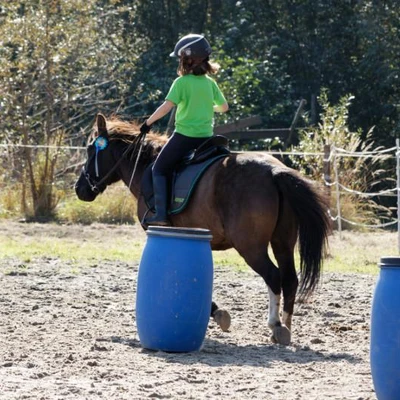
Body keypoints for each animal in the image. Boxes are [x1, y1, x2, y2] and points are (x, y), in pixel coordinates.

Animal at [76, 114, 332, 346]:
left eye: (90, 151)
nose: (80, 189)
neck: (146, 165)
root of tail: (273, 171)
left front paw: (219, 314)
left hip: (251, 247)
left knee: (273, 276)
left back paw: (275, 324)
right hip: (282, 243)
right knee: (290, 280)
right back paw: (286, 328)